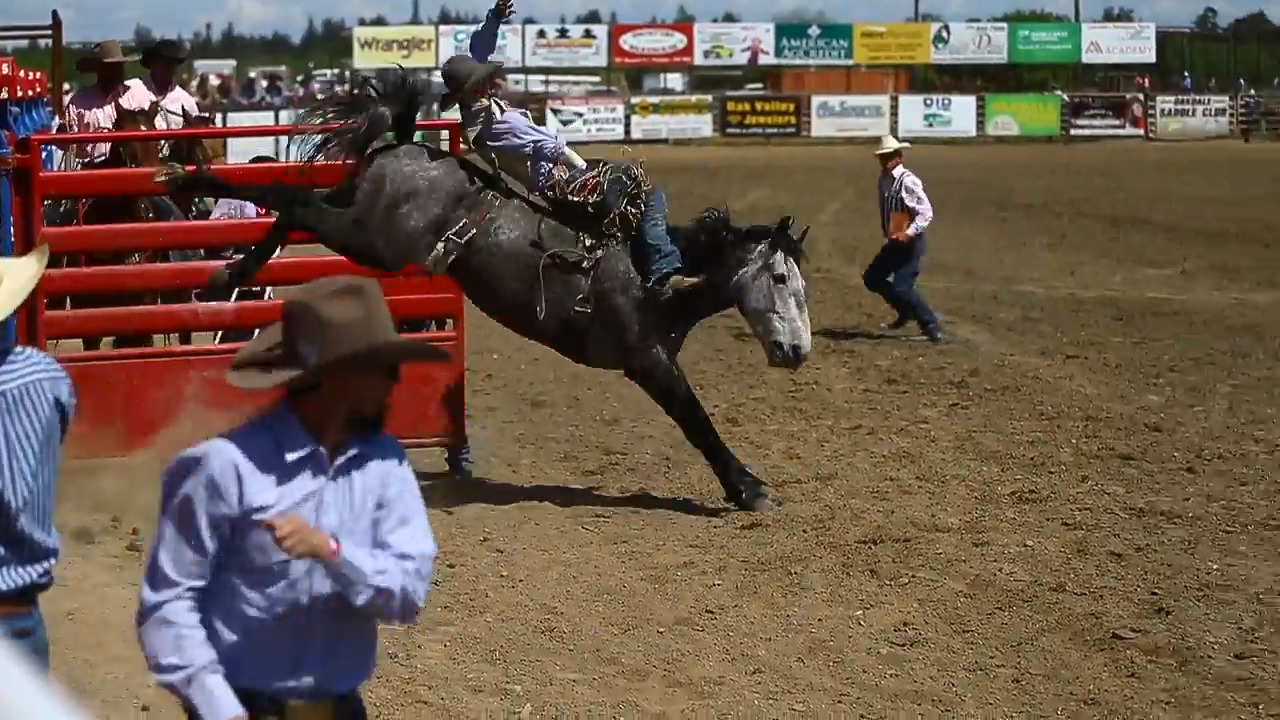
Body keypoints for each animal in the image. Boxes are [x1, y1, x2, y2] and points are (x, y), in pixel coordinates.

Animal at [157, 71, 808, 509]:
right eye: (779, 278)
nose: (799, 351)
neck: (659, 278)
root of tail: (405, 146)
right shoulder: (647, 361)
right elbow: (696, 421)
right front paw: (748, 487)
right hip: (371, 238)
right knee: (291, 201)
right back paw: (196, 196)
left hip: (354, 215)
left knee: (295, 205)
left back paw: (224, 255)